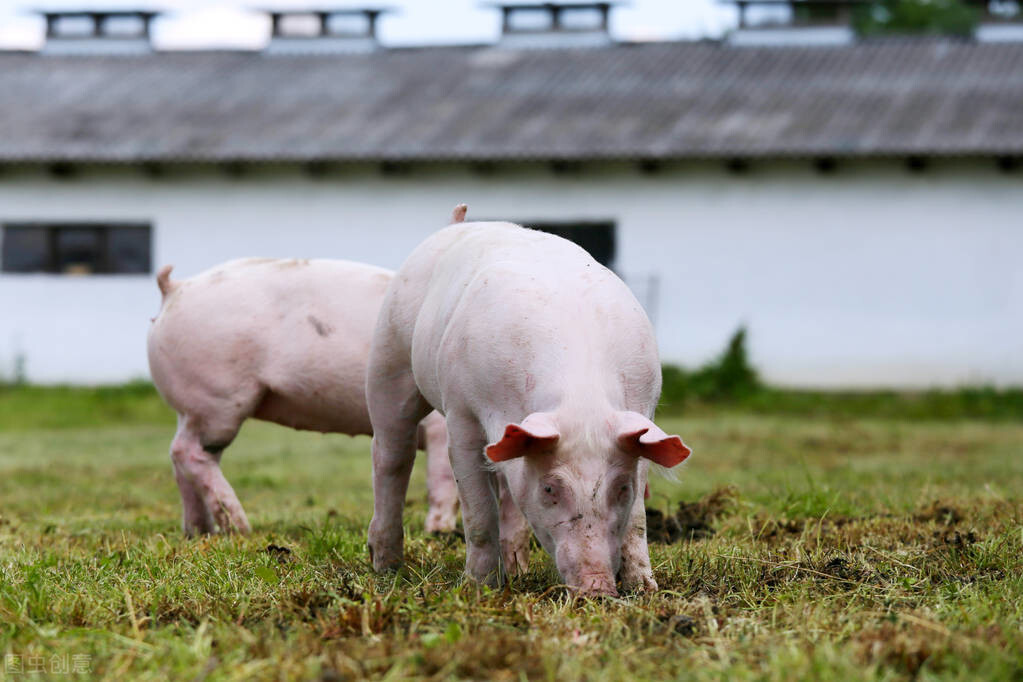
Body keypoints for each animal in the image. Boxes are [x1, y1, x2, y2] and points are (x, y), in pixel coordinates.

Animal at [145, 255, 460, 539]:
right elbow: (444, 475)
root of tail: (175, 287)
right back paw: (241, 529)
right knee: (186, 452)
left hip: (191, 408)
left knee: (181, 459)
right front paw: (440, 532)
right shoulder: (439, 425)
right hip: (217, 398)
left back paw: (200, 531)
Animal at [364, 213, 691, 597]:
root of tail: (458, 223)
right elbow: (478, 510)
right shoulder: (461, 412)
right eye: (550, 488)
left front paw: (645, 588)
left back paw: (517, 571)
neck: (580, 396)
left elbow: (638, 518)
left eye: (622, 487)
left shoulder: (643, 410)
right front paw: (479, 587)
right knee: (391, 455)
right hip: (389, 357)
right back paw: (386, 567)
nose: (596, 588)